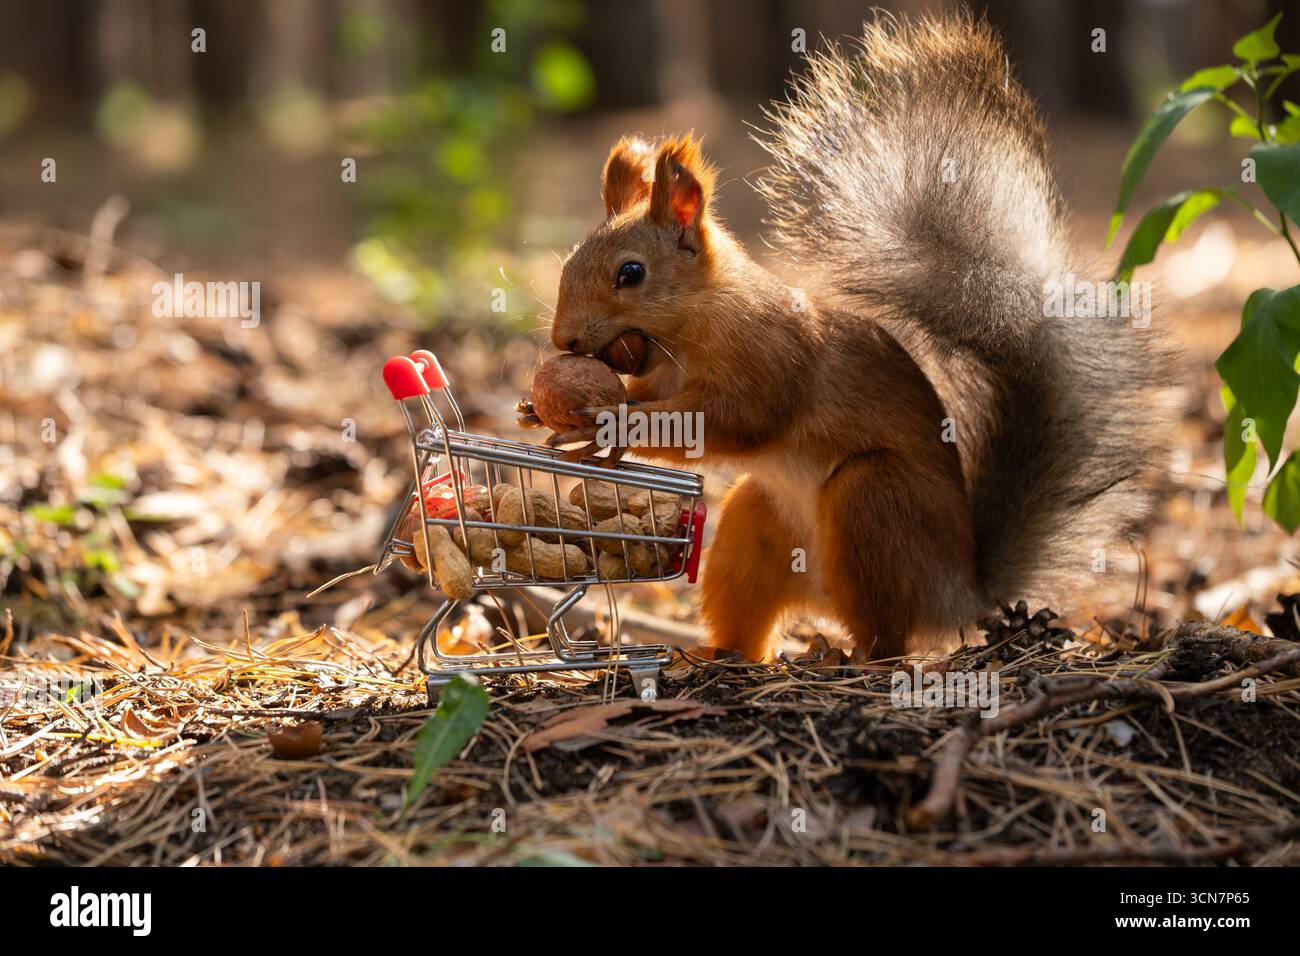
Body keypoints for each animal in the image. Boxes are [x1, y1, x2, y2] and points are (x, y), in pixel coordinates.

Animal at [548, 12, 1174, 661]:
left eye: (630, 274)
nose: (562, 340)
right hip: (753, 523)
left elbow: (733, 420)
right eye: (569, 262)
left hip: (871, 500)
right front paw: (570, 422)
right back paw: (718, 655)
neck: (698, 324)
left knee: (887, 634)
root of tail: (959, 593)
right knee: (749, 617)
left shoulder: (772, 362)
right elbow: (653, 397)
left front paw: (612, 423)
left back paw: (856, 660)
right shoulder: (662, 375)